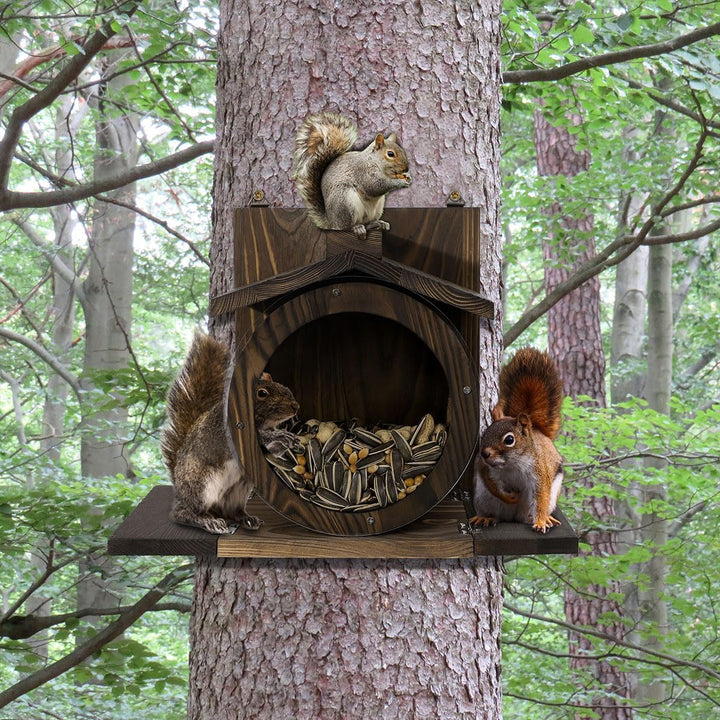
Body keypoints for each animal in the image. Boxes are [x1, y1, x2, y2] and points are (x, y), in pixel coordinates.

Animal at [161, 332, 300, 535]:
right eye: (262, 393)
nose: (295, 406)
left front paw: (291, 441)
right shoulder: (228, 434)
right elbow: (259, 438)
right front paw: (279, 436)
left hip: (238, 491)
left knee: (230, 512)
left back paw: (247, 519)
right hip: (200, 486)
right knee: (183, 513)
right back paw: (207, 521)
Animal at [292, 111, 412, 239]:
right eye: (390, 154)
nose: (406, 168)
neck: (375, 161)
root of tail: (331, 222)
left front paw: (408, 176)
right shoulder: (363, 171)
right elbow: (375, 186)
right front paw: (400, 182)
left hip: (376, 208)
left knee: (367, 223)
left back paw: (377, 223)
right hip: (345, 201)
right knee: (346, 227)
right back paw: (357, 228)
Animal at [470, 347, 565, 534]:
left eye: (509, 440)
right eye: (484, 434)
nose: (484, 454)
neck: (512, 464)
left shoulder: (539, 472)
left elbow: (541, 497)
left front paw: (541, 522)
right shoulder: (487, 470)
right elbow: (493, 485)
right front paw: (511, 497)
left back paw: (546, 518)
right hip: (482, 497)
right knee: (493, 512)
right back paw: (486, 517)